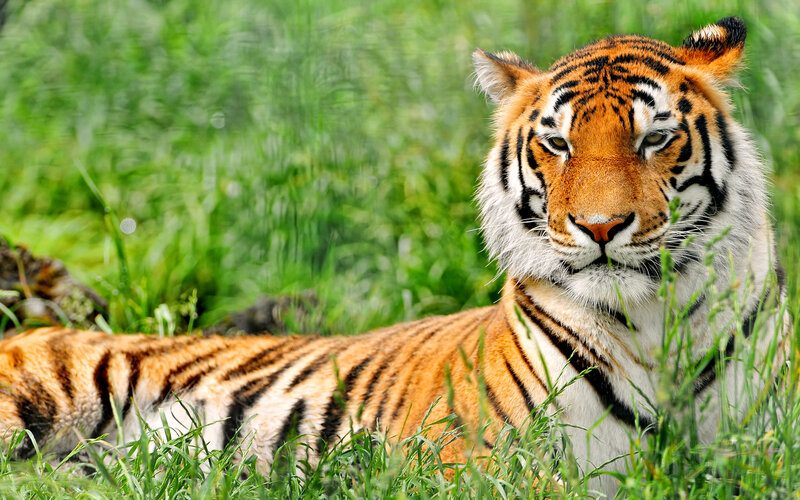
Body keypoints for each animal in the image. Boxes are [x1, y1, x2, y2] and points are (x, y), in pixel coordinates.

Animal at [0, 16, 790, 496]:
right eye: (557, 143)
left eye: (654, 139)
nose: (600, 227)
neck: (657, 324)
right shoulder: (475, 465)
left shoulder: (761, 449)